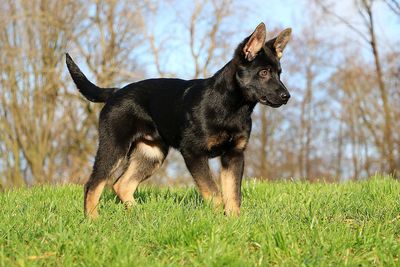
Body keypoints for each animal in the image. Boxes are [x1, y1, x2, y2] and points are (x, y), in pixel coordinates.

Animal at [65, 21, 290, 218]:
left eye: (279, 73)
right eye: (264, 72)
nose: (286, 96)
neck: (231, 106)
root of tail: (115, 92)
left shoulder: (234, 155)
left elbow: (233, 195)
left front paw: (233, 223)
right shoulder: (193, 152)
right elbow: (214, 193)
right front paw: (219, 219)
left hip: (151, 153)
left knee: (122, 184)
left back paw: (140, 216)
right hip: (114, 146)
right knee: (93, 183)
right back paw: (93, 219)